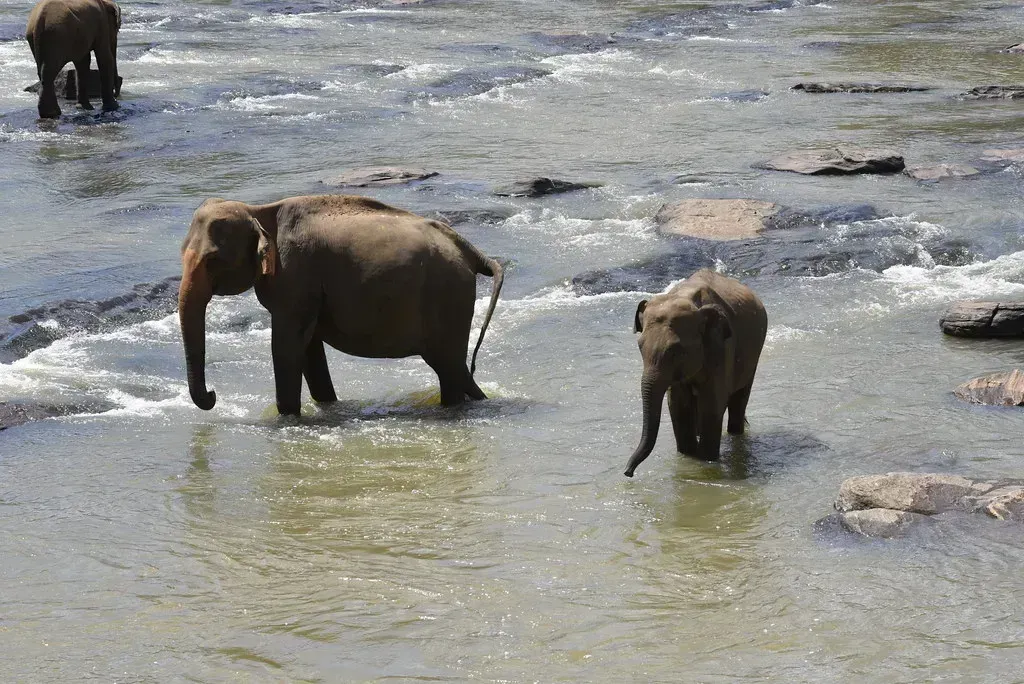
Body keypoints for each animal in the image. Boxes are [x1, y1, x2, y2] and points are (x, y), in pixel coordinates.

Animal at [178, 194, 505, 416]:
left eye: (212, 259)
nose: (213, 394)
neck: (258, 211)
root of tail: (470, 250)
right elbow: (309, 350)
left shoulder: (296, 278)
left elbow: (286, 348)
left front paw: (287, 418)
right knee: (455, 370)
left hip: (448, 297)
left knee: (449, 369)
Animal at [624, 269, 767, 477]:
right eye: (640, 346)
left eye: (676, 351)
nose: (628, 472)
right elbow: (678, 405)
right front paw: (688, 456)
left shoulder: (720, 346)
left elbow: (712, 403)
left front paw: (707, 460)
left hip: (753, 355)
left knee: (739, 400)